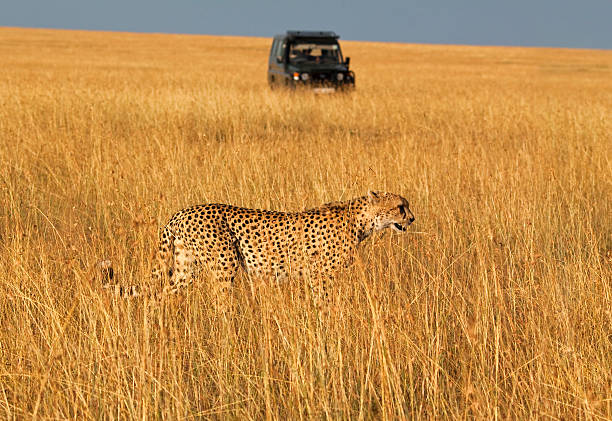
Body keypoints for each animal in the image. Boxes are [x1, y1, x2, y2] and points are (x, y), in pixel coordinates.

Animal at [101, 190, 416, 298]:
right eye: (400, 207)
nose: (412, 219)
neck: (361, 220)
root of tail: (181, 212)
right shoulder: (320, 275)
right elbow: (323, 303)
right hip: (224, 263)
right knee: (220, 303)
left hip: (185, 267)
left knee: (162, 293)